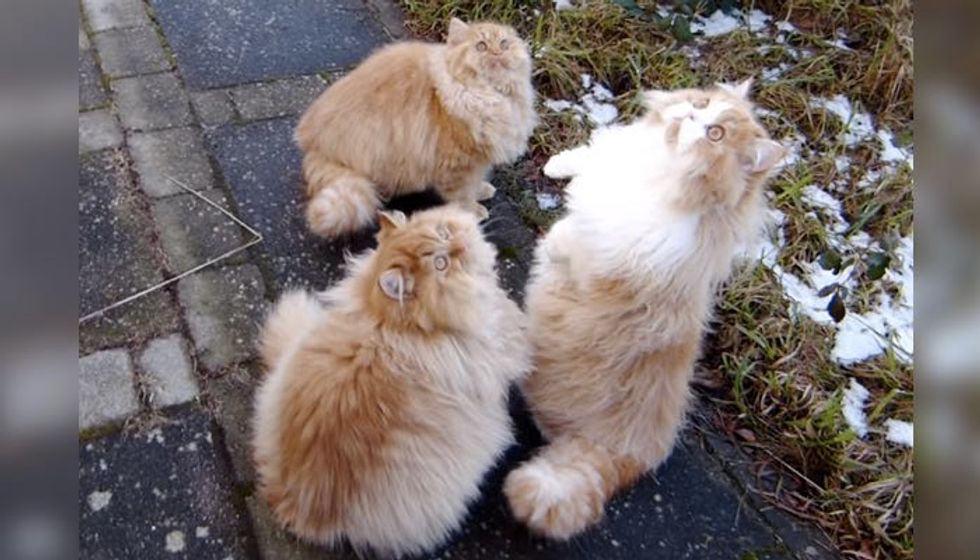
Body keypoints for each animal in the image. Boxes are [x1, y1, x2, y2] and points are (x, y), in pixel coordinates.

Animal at [294, 18, 536, 237]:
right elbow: (462, 197)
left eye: (504, 44)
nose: (497, 53)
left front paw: (482, 190)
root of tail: (314, 147)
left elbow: (476, 183)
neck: (491, 95)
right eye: (481, 46)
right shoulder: (459, 165)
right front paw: (473, 211)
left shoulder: (477, 161)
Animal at [502, 77, 784, 540]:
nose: (692, 115)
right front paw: (558, 166)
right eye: (702, 103)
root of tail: (632, 456)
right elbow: (584, 159)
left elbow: (572, 236)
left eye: (715, 135)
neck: (657, 166)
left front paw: (554, 243)